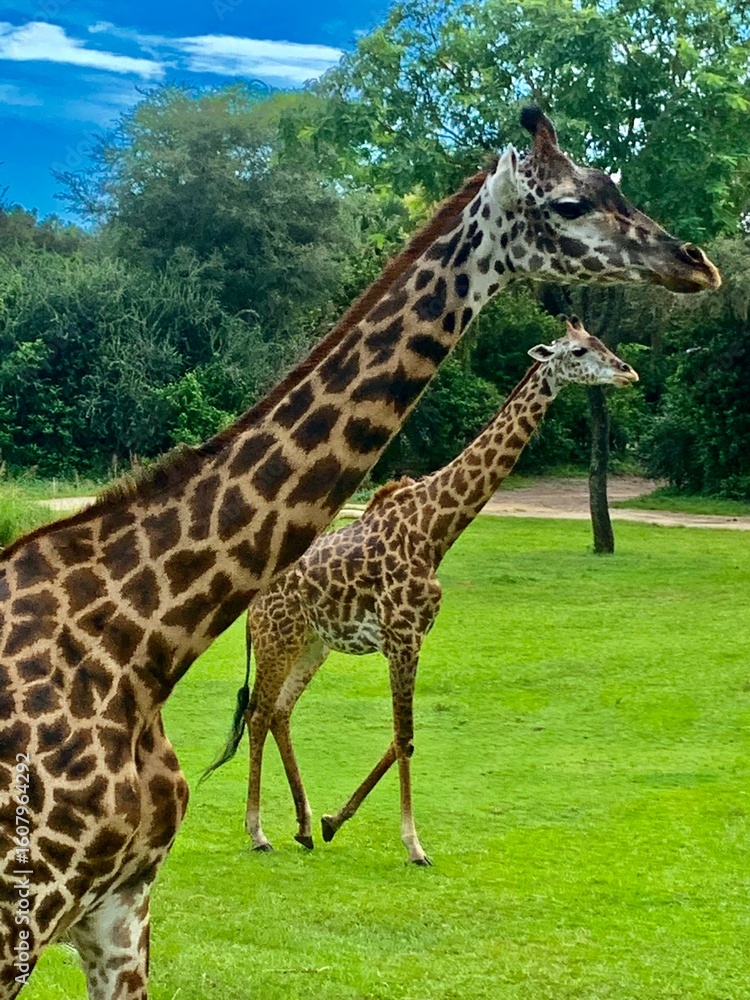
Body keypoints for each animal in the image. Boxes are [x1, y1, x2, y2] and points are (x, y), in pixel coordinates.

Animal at [206, 316, 639, 864]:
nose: (628, 372)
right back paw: (258, 832)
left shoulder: (413, 639)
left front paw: (331, 822)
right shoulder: (401, 637)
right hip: (276, 639)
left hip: (313, 644)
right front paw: (413, 844)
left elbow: (400, 739)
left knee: (281, 712)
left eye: (602, 343)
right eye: (579, 351)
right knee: (259, 713)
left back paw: (303, 826)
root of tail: (256, 596)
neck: (434, 533)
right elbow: (405, 737)